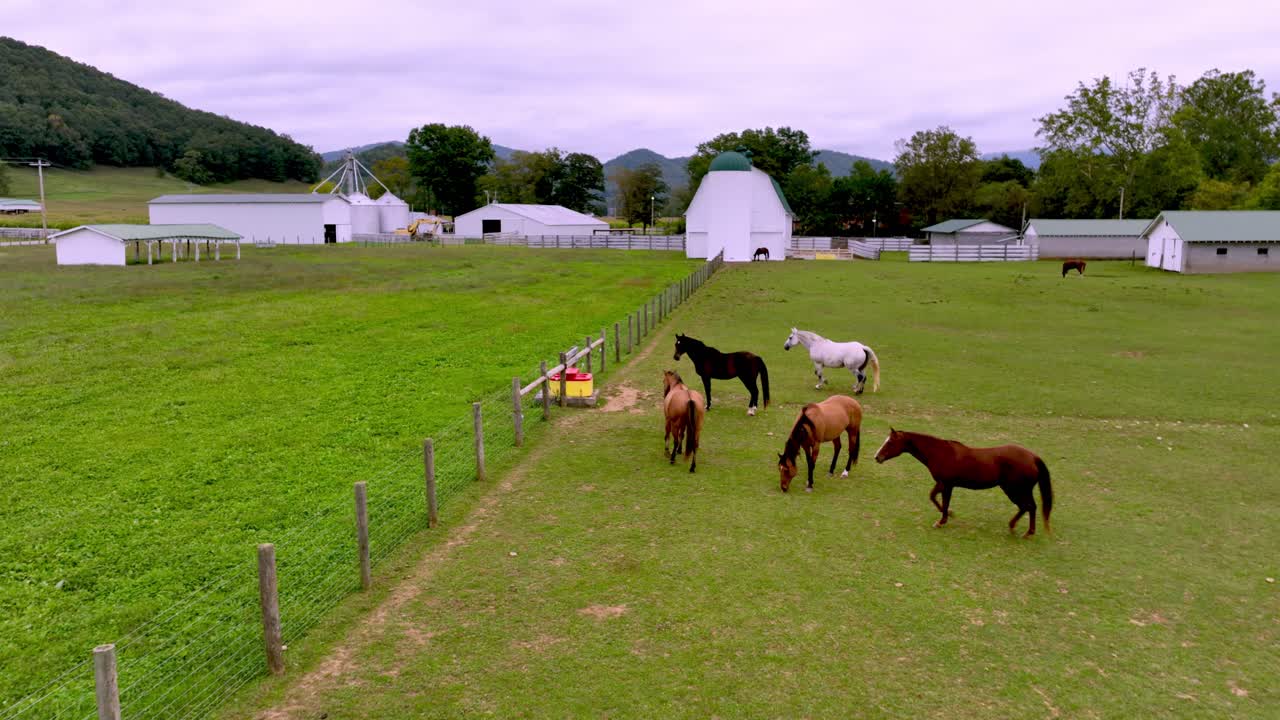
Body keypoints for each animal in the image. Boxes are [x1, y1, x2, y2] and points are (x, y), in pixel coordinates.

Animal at [873, 428, 1053, 537]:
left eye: (890, 442)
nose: (877, 457)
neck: (941, 453)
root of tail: (1033, 457)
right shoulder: (945, 484)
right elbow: (936, 498)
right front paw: (948, 515)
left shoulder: (945, 484)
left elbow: (937, 499)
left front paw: (942, 520)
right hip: (1018, 490)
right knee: (1029, 507)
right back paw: (1018, 527)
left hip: (1015, 490)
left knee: (1028, 507)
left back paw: (1025, 531)